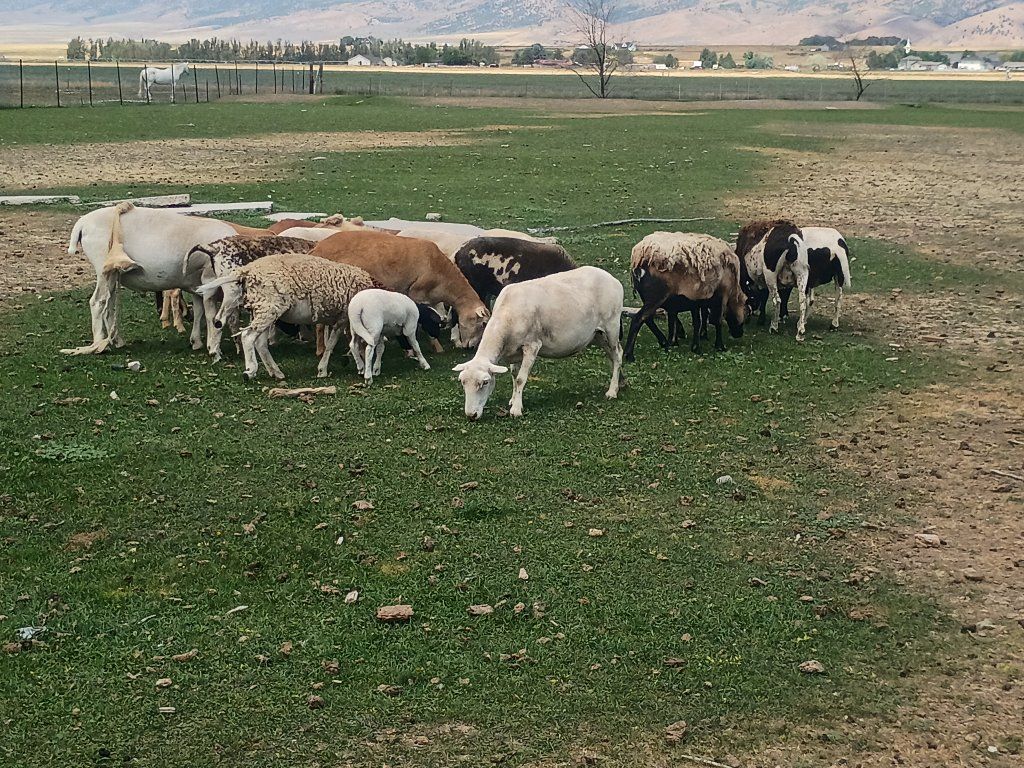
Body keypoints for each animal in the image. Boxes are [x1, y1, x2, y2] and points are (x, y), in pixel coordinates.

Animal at [196, 253, 376, 381]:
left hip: (261, 308)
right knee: (247, 336)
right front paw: (324, 369)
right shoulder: (342, 317)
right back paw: (250, 370)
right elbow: (332, 344)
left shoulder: (338, 319)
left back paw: (276, 372)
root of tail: (247, 271)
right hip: (267, 307)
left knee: (259, 343)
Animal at [453, 266, 624, 420]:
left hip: (611, 326)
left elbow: (521, 378)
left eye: (485, 382)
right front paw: (514, 400)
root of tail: (613, 279)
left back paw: (612, 391)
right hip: (597, 334)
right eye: (462, 382)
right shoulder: (514, 350)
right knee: (613, 354)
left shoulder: (532, 346)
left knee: (617, 355)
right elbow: (514, 375)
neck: (506, 316)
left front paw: (516, 410)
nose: (471, 415)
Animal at [623, 232, 747, 361]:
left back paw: (664, 342)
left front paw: (699, 338)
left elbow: (699, 317)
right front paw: (719, 346)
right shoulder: (721, 294)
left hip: (648, 297)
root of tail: (638, 258)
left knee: (648, 319)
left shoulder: (698, 299)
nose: (739, 334)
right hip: (657, 295)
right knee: (639, 318)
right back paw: (629, 355)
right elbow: (717, 320)